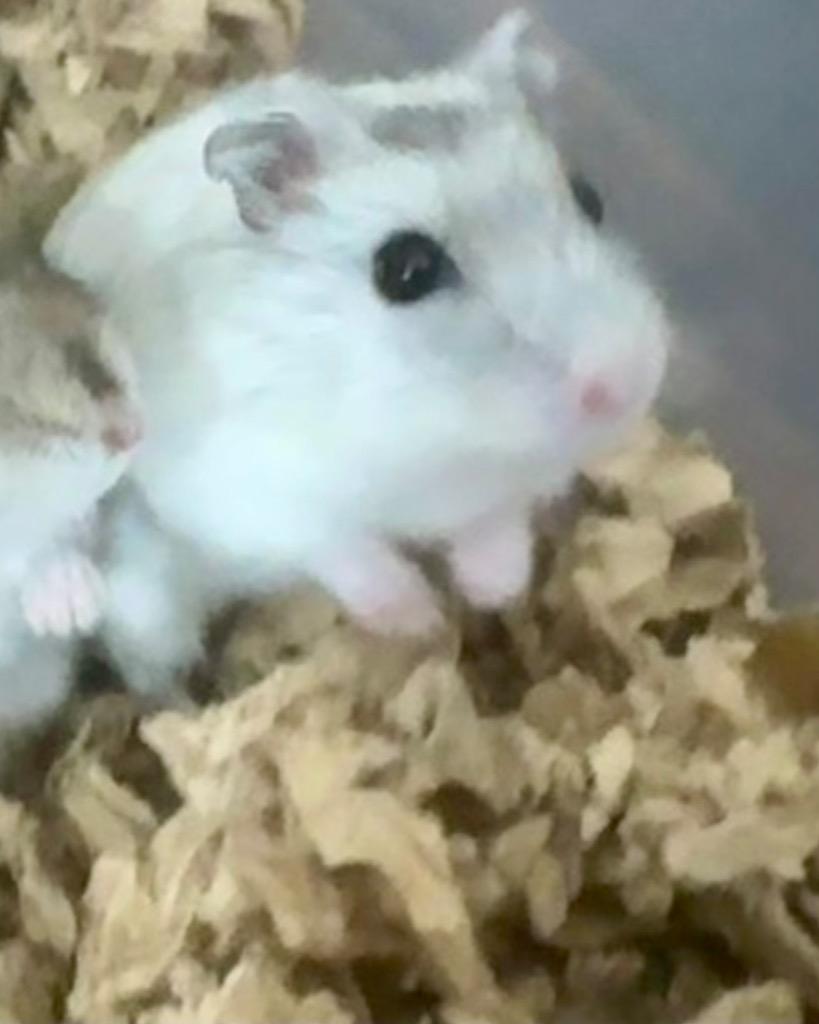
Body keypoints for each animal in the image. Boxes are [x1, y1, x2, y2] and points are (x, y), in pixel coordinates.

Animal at [46, 11, 670, 696]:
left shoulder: (513, 478)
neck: (433, 437)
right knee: (146, 660)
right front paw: (419, 616)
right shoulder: (248, 487)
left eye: (590, 198)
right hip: (145, 595)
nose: (624, 385)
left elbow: (498, 517)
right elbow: (338, 546)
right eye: (405, 269)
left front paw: (492, 590)